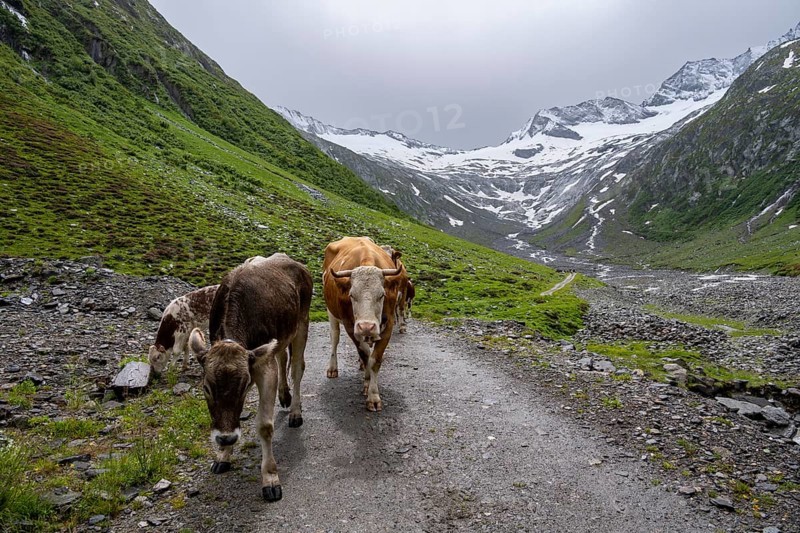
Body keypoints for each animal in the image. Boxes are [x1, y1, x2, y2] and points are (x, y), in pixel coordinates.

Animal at [188, 253, 312, 502]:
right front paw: (223, 455)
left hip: (301, 324)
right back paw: (284, 396)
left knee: (296, 368)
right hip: (282, 337)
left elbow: (264, 426)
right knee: (282, 357)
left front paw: (270, 478)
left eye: (245, 387)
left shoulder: (264, 367)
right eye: (206, 388)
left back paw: (295, 411)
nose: (226, 438)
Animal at [324, 237, 408, 411]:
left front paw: (373, 395)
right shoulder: (351, 326)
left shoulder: (388, 324)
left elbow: (374, 359)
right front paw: (368, 385)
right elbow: (365, 353)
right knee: (335, 338)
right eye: (351, 295)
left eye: (381, 295)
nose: (366, 326)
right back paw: (333, 368)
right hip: (331, 312)